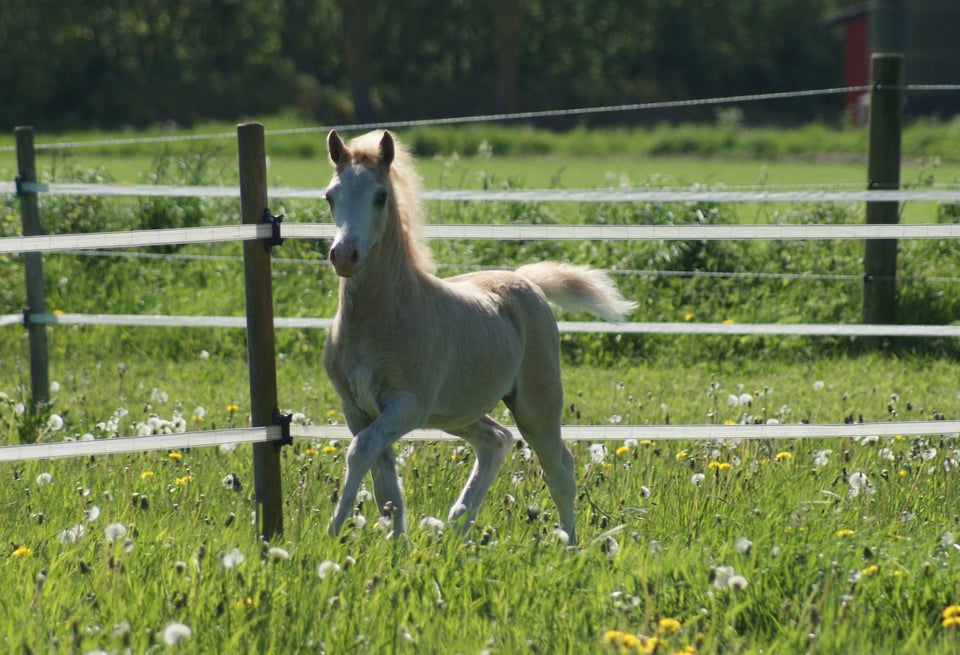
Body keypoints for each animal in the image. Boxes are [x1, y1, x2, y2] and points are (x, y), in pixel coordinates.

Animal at [324, 128, 636, 544]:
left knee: (559, 469)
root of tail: (526, 281)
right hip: (457, 412)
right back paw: (459, 520)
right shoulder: (357, 409)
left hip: (535, 405)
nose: (344, 255)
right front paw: (397, 549)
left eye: (380, 196)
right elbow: (385, 487)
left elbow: (360, 452)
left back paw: (569, 544)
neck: (381, 317)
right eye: (331, 195)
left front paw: (334, 529)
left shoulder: (407, 404)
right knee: (497, 439)